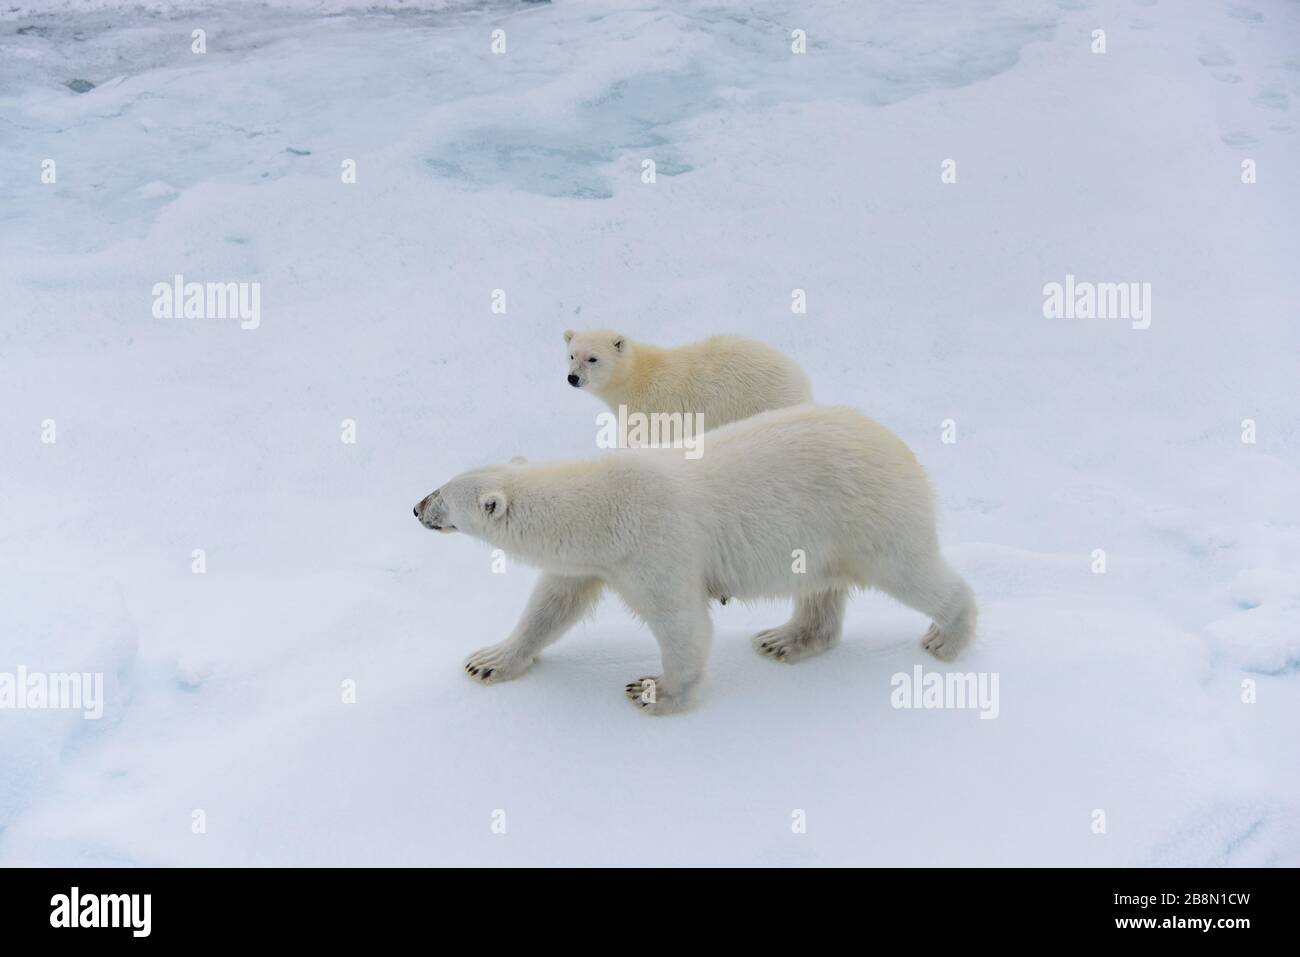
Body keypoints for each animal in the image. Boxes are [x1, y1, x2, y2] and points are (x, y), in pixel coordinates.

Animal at [416, 403, 977, 712]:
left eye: (443, 496)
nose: (417, 506)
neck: (602, 507)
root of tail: (901, 448)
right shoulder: (596, 561)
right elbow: (551, 605)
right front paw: (489, 661)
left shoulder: (654, 546)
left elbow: (681, 622)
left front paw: (654, 692)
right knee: (820, 588)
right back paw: (785, 639)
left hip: (867, 513)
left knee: (910, 570)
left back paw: (948, 637)